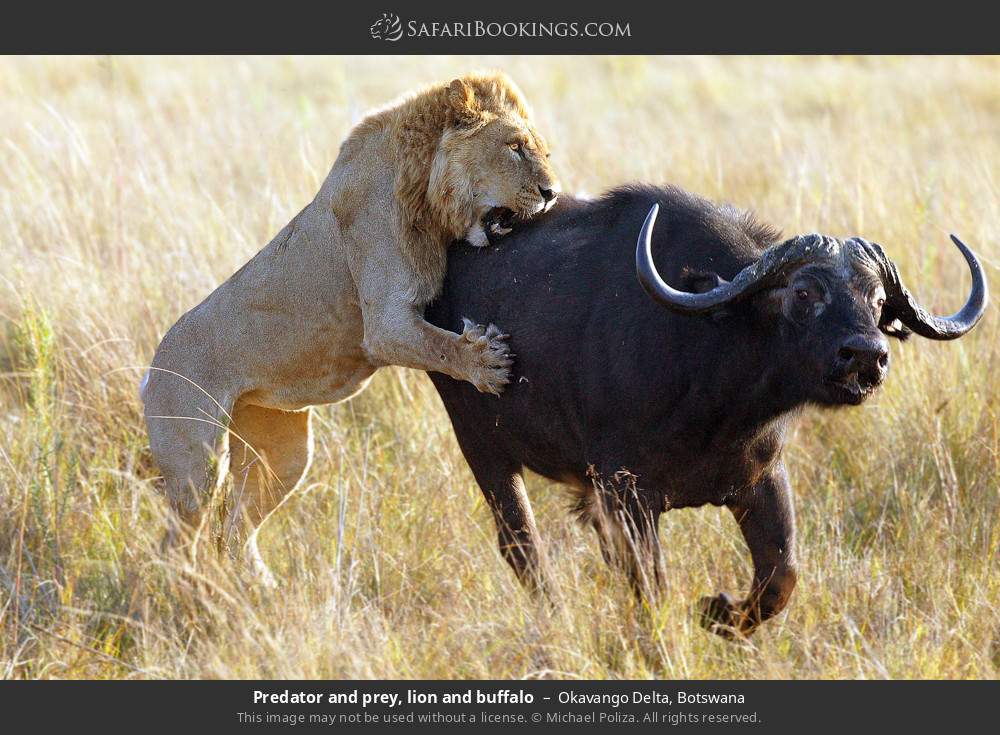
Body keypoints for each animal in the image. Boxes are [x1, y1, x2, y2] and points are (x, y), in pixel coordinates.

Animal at [141, 72, 560, 583]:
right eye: (515, 147)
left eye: (542, 151)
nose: (552, 192)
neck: (421, 185)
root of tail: (151, 369)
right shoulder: (384, 323)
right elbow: (439, 346)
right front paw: (486, 364)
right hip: (195, 466)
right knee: (177, 544)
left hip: (282, 453)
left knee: (235, 533)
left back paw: (267, 589)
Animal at [426, 185, 987, 636]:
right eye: (804, 292)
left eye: (877, 301)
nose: (867, 355)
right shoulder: (627, 494)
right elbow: (651, 586)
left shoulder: (761, 479)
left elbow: (782, 575)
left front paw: (717, 613)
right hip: (484, 449)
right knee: (523, 547)